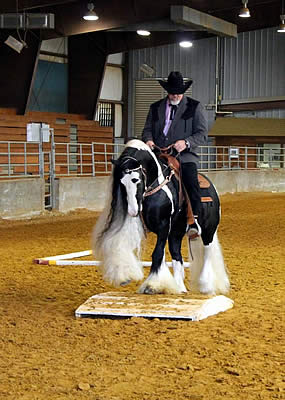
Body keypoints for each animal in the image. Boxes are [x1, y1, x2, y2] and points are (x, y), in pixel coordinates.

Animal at [93, 140, 229, 294]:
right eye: (121, 182)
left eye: (135, 179)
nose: (133, 211)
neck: (157, 187)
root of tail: (212, 188)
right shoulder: (159, 230)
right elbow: (159, 254)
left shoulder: (164, 226)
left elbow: (157, 253)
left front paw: (152, 285)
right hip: (176, 232)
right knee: (177, 256)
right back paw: (179, 288)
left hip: (208, 230)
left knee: (207, 252)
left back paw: (206, 285)